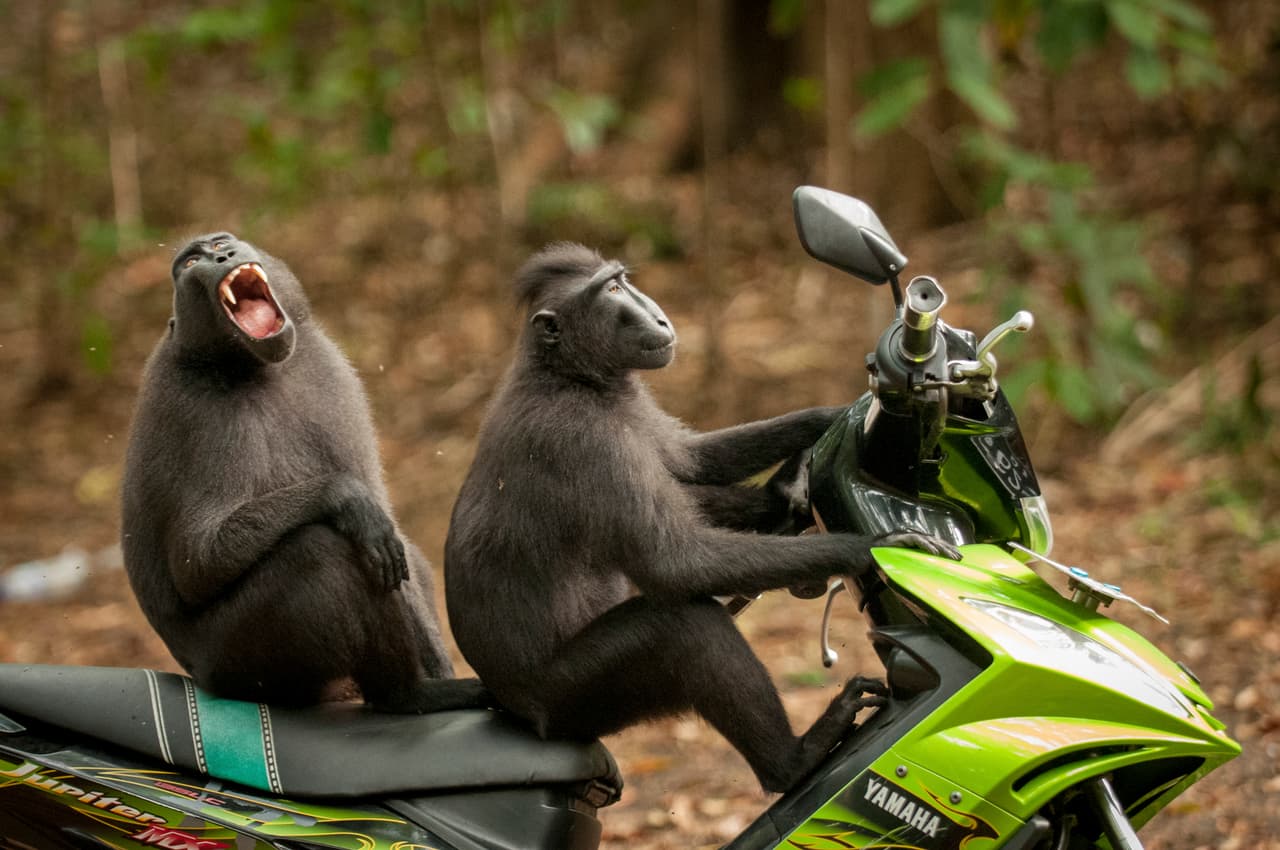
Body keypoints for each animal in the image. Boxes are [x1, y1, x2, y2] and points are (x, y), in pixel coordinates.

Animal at [122, 232, 486, 713]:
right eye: (192, 262)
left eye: (221, 243)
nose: (223, 256)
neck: (255, 369)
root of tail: (199, 676)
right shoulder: (193, 412)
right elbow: (196, 562)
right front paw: (344, 497)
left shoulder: (328, 370)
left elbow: (392, 540)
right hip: (240, 665)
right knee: (322, 553)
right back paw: (407, 695)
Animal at [444, 243, 960, 792]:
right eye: (611, 290)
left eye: (622, 281)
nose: (658, 316)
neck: (567, 375)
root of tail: (516, 707)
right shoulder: (586, 440)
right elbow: (676, 565)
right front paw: (881, 545)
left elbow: (691, 460)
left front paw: (835, 421)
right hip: (573, 699)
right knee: (684, 626)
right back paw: (793, 761)